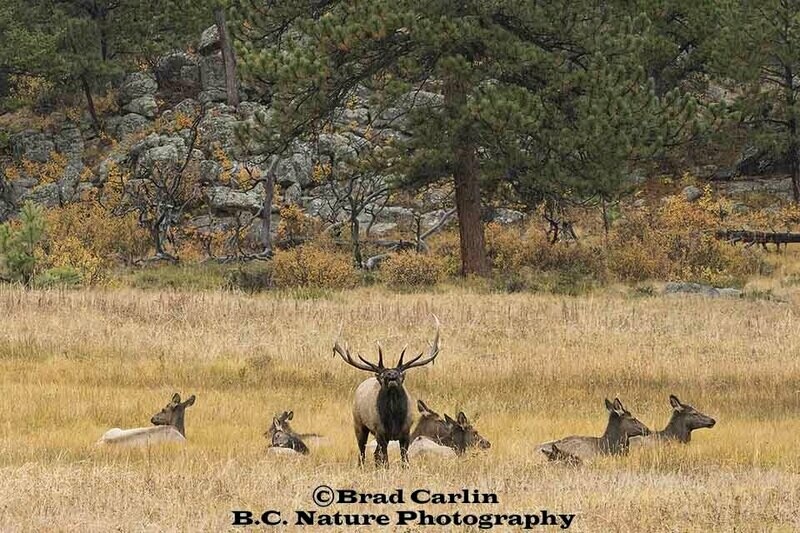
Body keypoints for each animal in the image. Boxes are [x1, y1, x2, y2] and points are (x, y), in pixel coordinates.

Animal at [334, 315, 440, 466]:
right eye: (383, 375)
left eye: (400, 374)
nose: (391, 375)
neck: (394, 420)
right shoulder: (380, 432)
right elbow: (386, 460)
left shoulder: (406, 433)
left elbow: (405, 460)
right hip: (359, 424)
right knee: (362, 452)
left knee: (374, 454)